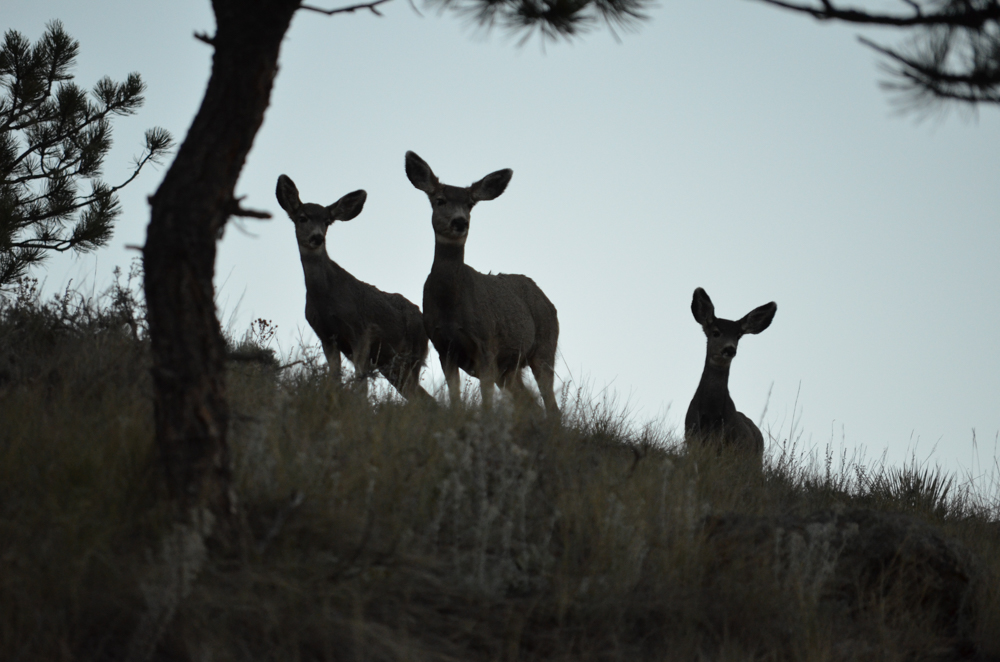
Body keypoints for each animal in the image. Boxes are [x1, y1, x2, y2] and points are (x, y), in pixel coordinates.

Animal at [274, 175, 434, 404]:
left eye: (327, 221)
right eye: (302, 218)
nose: (317, 237)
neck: (325, 299)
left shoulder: (361, 330)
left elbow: (360, 384)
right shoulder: (325, 335)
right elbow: (334, 378)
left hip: (412, 354)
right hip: (391, 364)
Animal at [406, 153, 564, 418]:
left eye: (470, 203)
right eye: (440, 200)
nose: (460, 222)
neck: (451, 305)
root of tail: (548, 301)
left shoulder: (487, 342)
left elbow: (486, 400)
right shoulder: (443, 346)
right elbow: (455, 397)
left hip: (545, 344)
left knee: (551, 405)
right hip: (510, 369)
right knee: (528, 401)